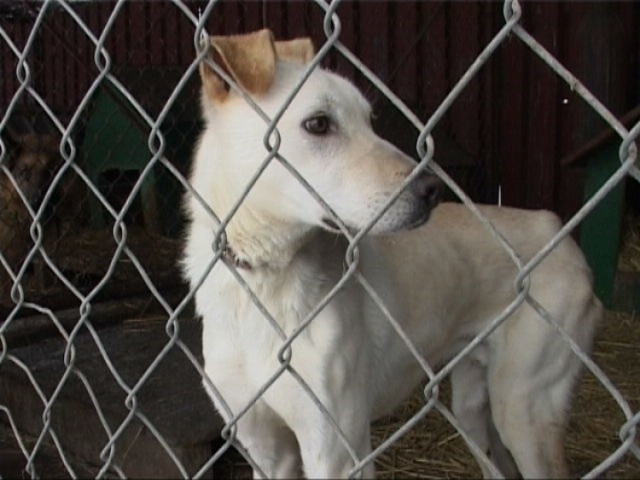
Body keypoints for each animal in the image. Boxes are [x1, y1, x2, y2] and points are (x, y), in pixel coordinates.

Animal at [182, 30, 604, 480]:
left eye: (370, 122)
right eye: (318, 123)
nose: (433, 189)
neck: (261, 281)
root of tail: (553, 227)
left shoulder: (335, 449)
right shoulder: (267, 450)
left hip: (524, 409)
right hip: (474, 409)